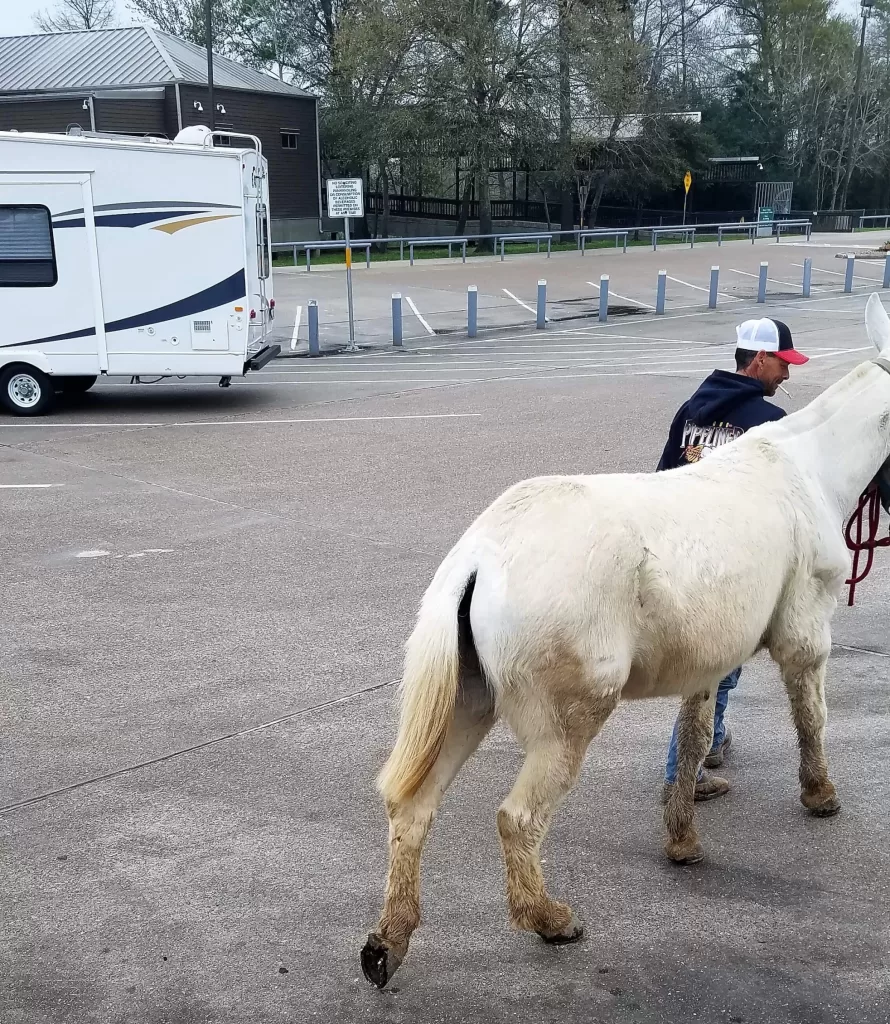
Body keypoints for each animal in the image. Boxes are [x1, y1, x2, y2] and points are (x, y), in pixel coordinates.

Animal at [360, 293, 890, 989]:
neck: (804, 471)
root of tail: (479, 556)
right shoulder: (804, 633)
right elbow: (812, 717)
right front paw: (819, 794)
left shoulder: (707, 664)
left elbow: (693, 740)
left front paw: (683, 837)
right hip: (567, 724)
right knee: (518, 820)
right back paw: (548, 919)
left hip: (468, 705)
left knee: (414, 810)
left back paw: (389, 940)